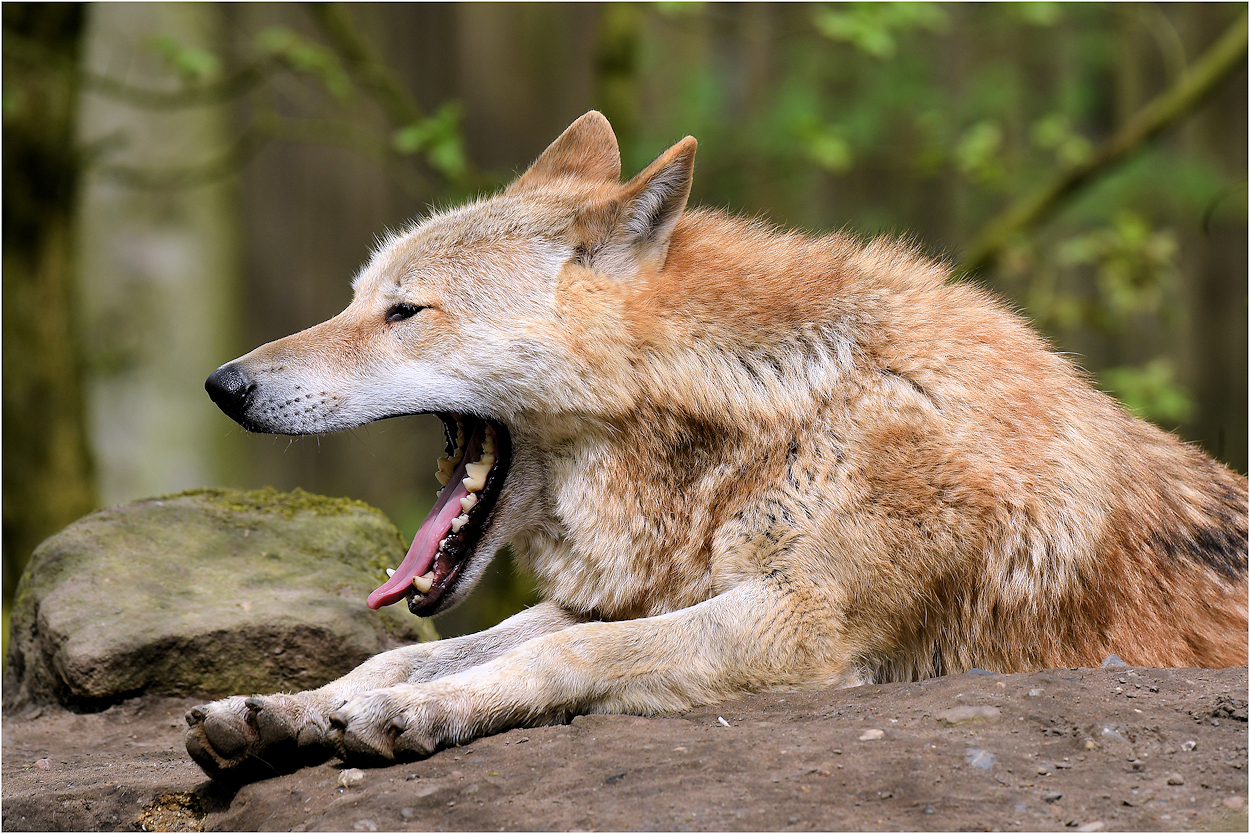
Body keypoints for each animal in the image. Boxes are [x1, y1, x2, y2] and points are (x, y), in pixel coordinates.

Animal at [187, 110, 1250, 785]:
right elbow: (418, 656)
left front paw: (413, 717)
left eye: (404, 312)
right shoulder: (635, 591)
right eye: (355, 300)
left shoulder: (797, 626)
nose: (224, 384)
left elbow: (562, 655)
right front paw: (284, 709)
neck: (780, 417)